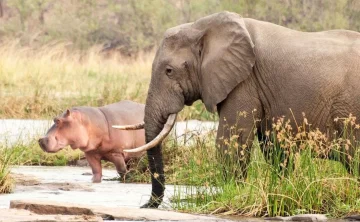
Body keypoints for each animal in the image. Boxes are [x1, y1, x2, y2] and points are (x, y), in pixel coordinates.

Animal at [117, 10, 360, 208]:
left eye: (169, 71)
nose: (146, 205)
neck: (201, 28)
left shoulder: (244, 82)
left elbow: (232, 138)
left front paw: (229, 192)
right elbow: (273, 147)